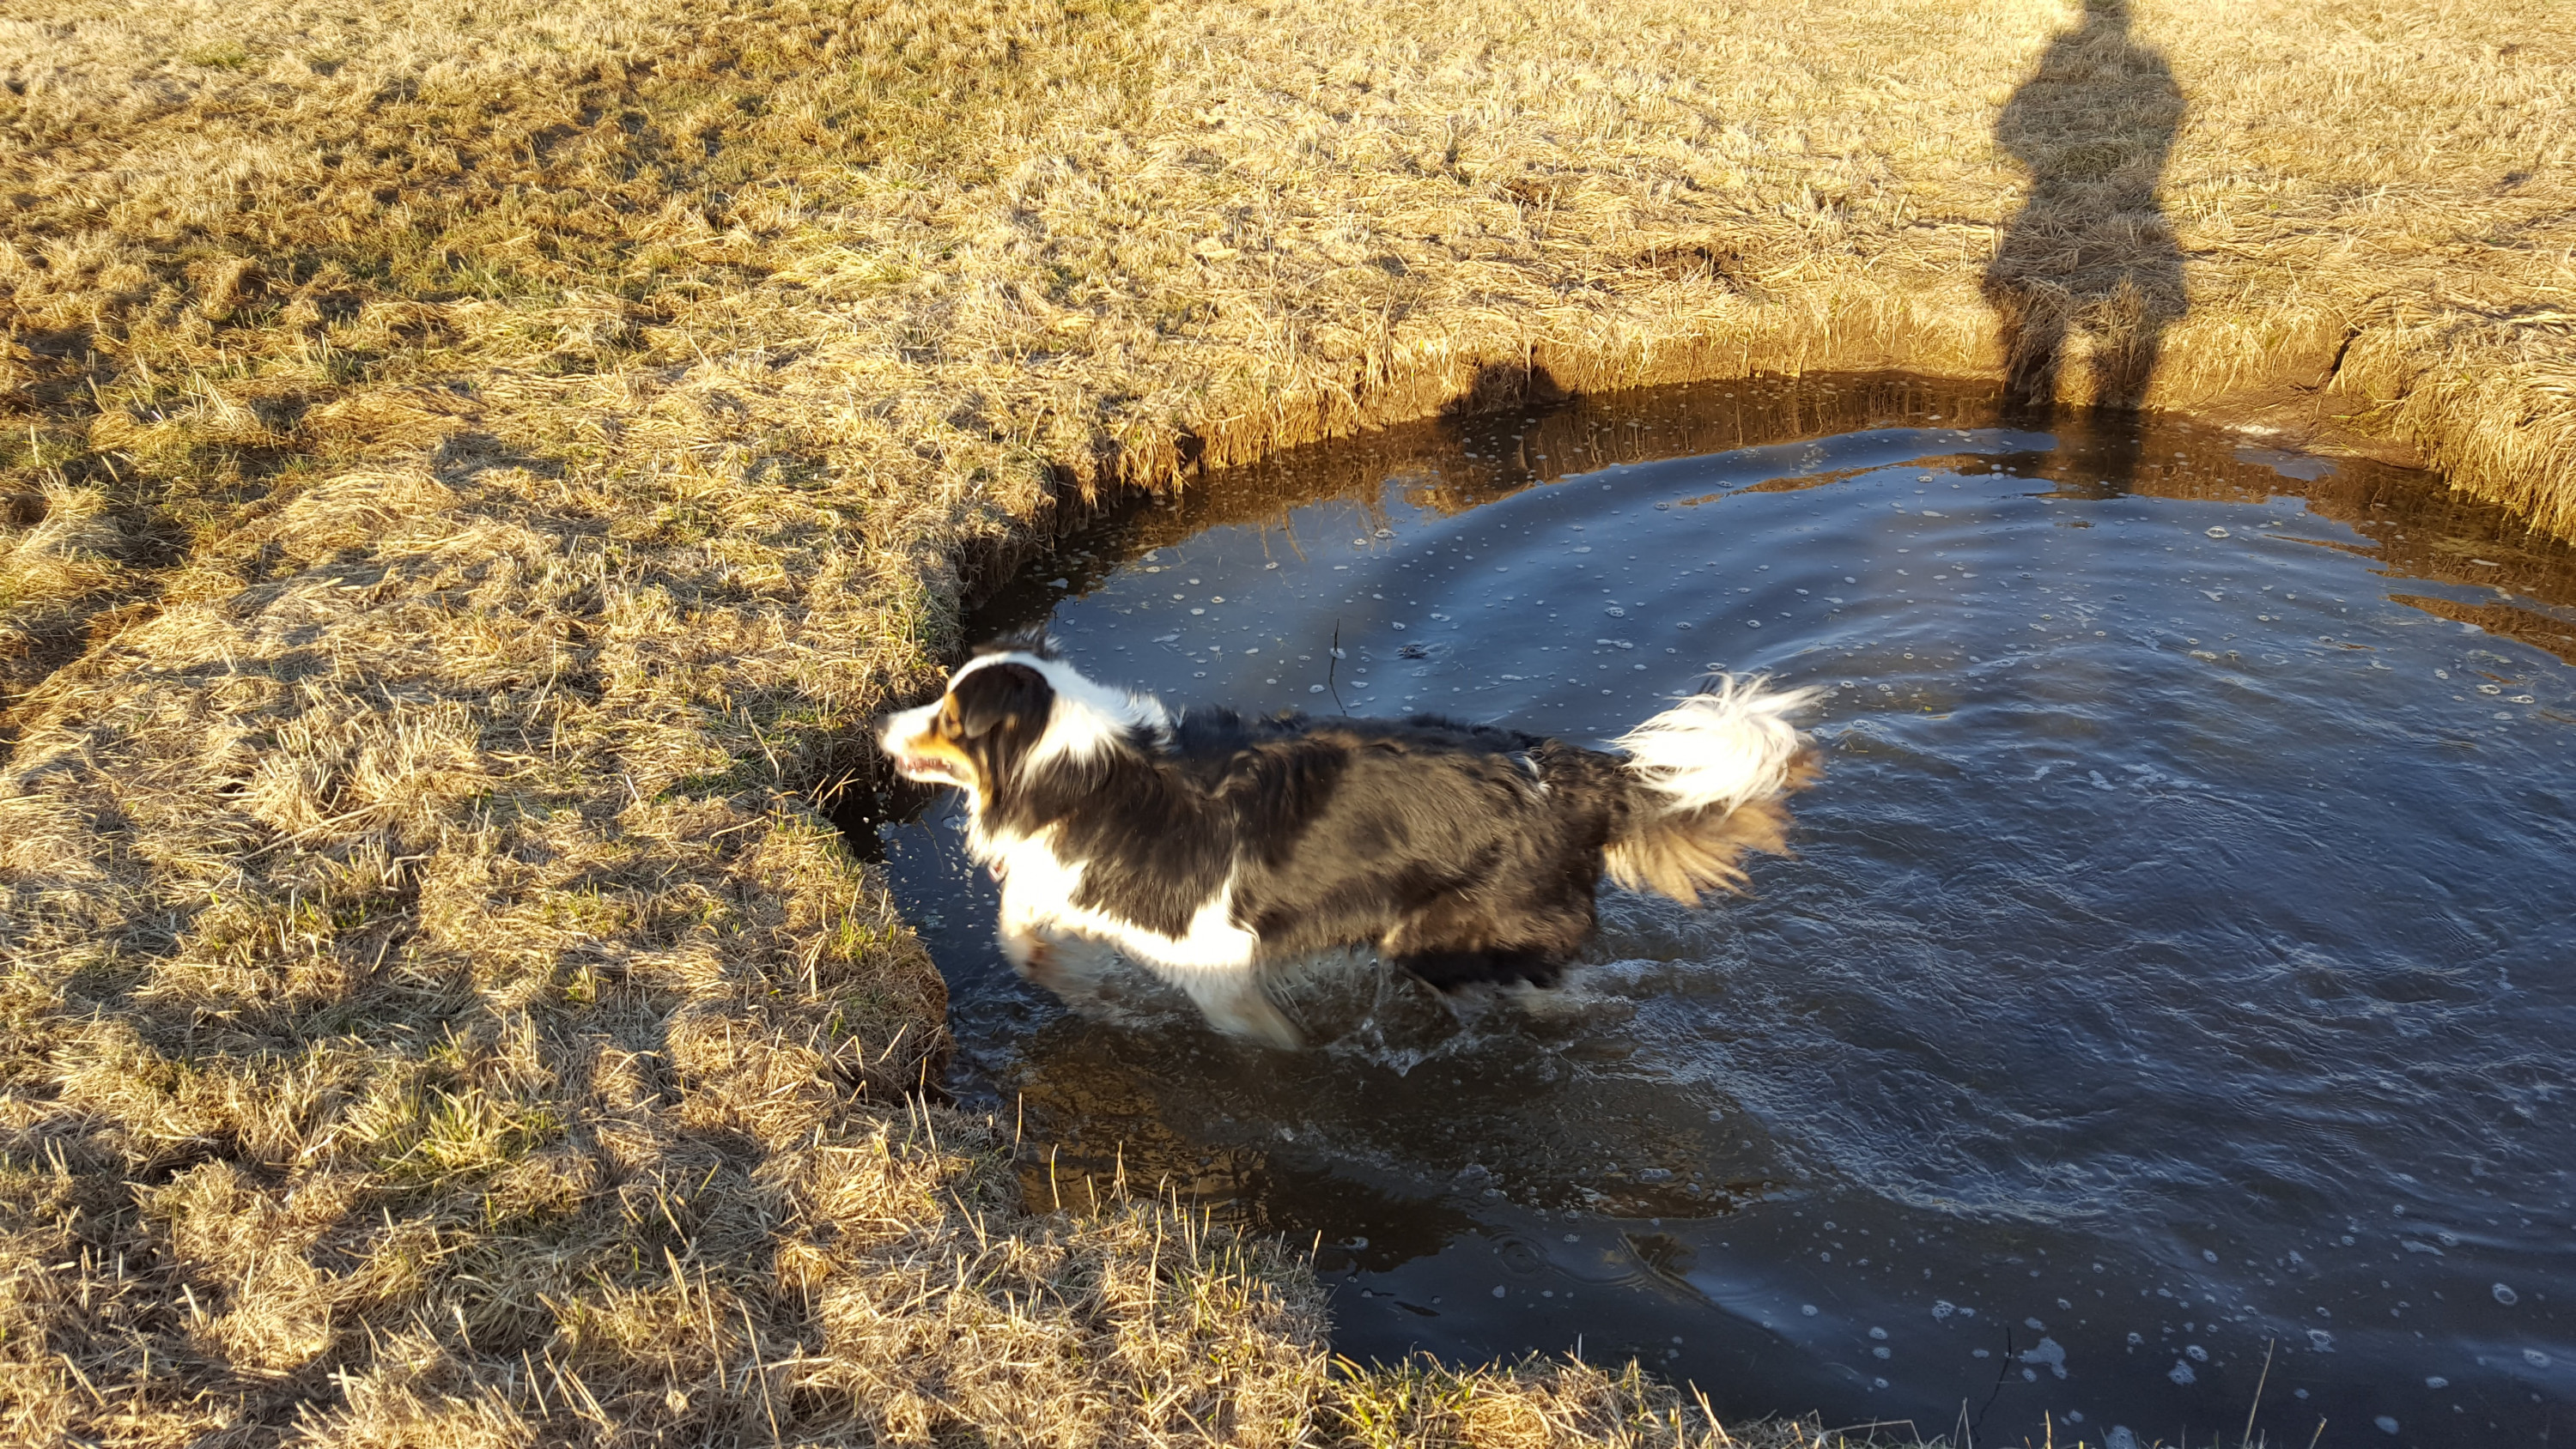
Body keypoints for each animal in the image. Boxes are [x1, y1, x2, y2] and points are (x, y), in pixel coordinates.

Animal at [876, 640, 1824, 1050]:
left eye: (950, 719)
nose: (880, 727)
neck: (1080, 776)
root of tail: (1570, 774)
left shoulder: (1214, 957)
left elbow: (1253, 1032)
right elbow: (1020, 931)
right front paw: (1087, 990)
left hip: (1441, 937)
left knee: (1549, 990)